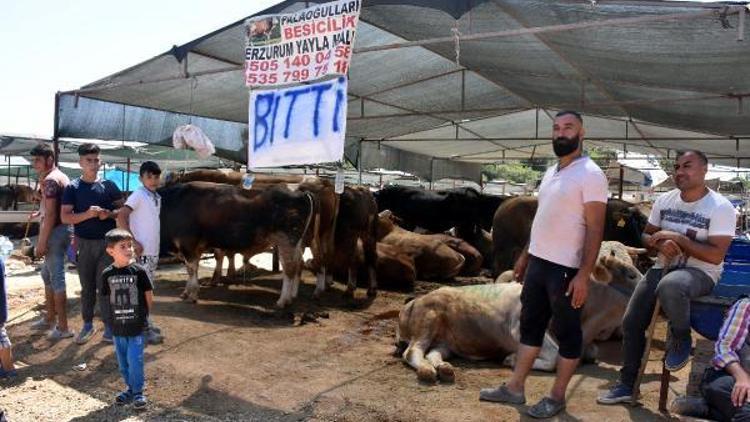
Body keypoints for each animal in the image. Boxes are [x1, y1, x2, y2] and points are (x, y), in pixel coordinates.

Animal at [394, 242, 648, 384]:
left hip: (446, 341)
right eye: (631, 274)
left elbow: (586, 353)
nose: (649, 288)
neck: (586, 324)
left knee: (433, 353)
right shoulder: (520, 328)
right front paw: (512, 358)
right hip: (427, 321)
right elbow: (554, 358)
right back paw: (427, 371)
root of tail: (414, 300)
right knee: (413, 352)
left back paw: (444, 369)